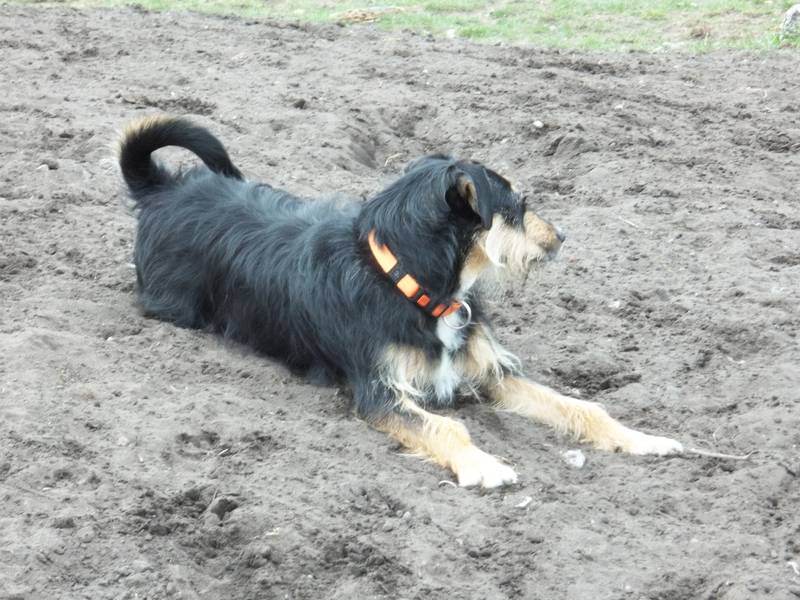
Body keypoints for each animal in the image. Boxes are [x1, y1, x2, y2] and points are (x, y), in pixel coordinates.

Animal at [118, 115, 683, 488]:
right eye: (518, 208)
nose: (561, 236)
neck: (409, 281)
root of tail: (165, 189)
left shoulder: (490, 372)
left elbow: (582, 407)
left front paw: (642, 438)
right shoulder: (379, 392)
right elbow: (445, 427)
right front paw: (485, 464)